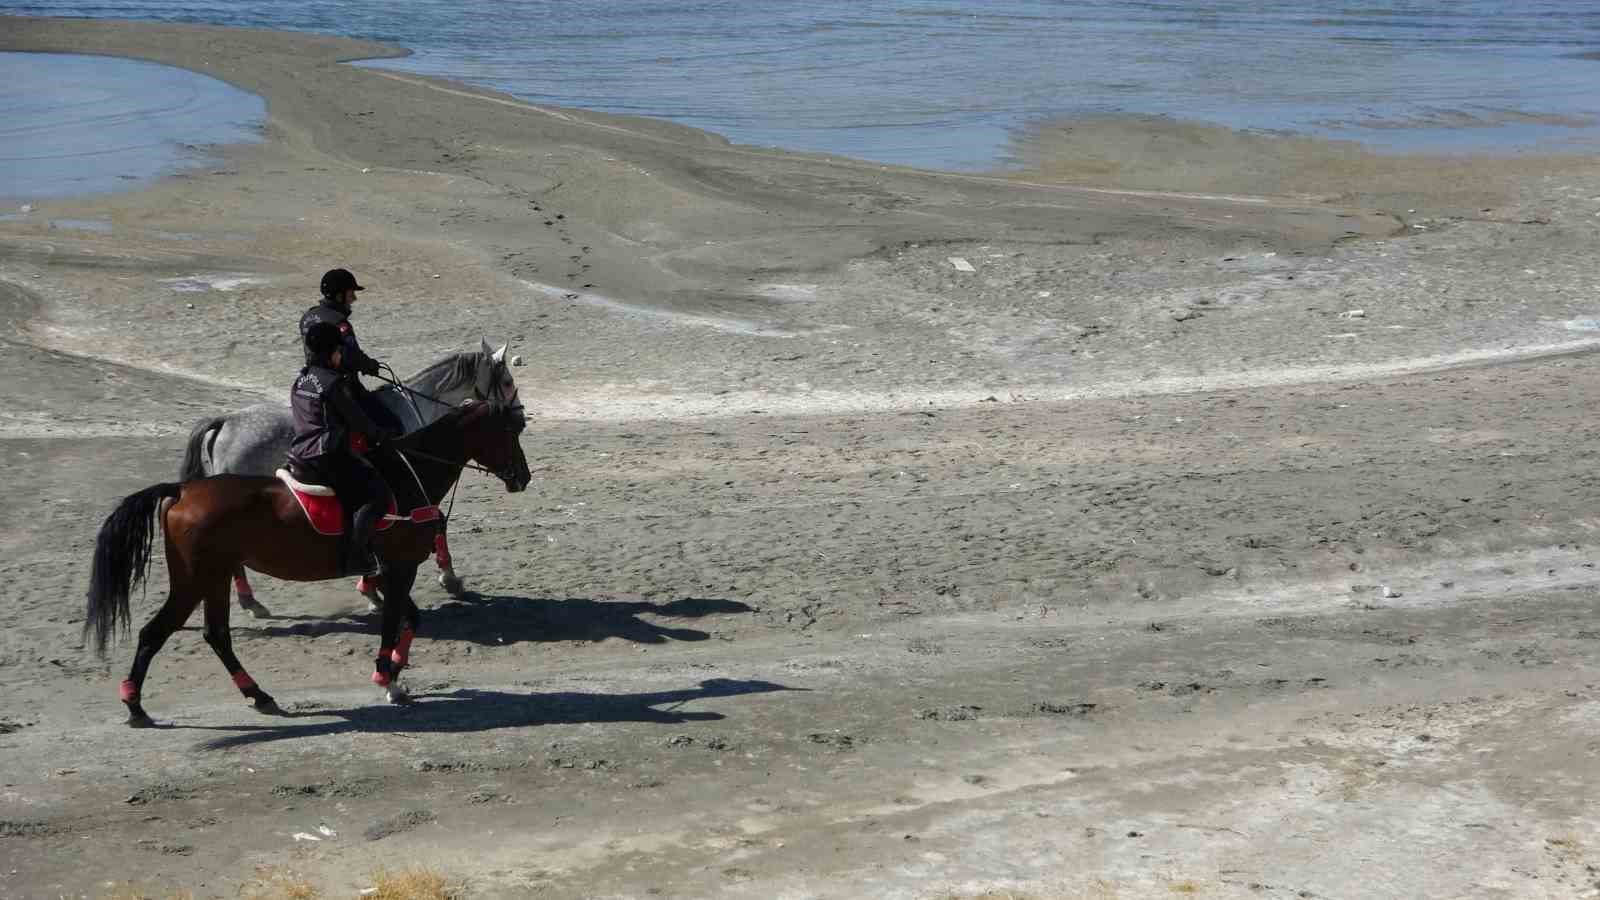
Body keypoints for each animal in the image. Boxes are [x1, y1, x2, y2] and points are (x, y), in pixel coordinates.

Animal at [86, 398, 531, 720]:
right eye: (509, 432)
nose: (523, 477)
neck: (406, 476)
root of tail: (182, 491)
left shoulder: (392, 572)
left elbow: (411, 619)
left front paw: (396, 670)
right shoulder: (398, 568)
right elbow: (394, 623)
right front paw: (386, 678)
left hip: (212, 578)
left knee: (215, 634)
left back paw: (256, 694)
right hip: (195, 579)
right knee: (156, 633)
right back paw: (135, 704)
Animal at [180, 337, 518, 614]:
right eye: (507, 382)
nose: (518, 416)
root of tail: (225, 421)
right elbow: (438, 525)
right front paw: (448, 579)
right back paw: (250, 601)